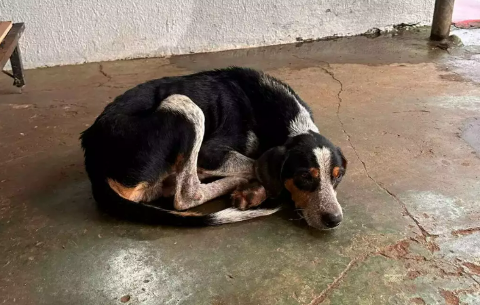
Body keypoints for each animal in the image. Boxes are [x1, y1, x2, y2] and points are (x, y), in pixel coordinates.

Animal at [80, 66, 346, 228]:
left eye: (338, 176)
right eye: (304, 177)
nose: (334, 220)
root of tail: (92, 157)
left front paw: (255, 191)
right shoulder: (209, 153)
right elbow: (256, 166)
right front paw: (255, 189)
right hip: (184, 104)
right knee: (187, 194)